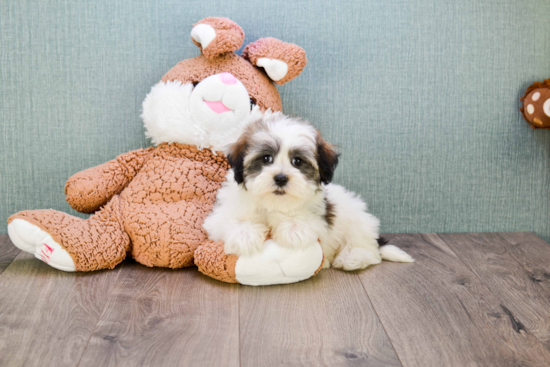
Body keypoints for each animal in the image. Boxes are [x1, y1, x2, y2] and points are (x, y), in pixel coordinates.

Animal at [204, 113, 414, 272]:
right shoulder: (220, 217)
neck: (273, 202)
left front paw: (292, 229)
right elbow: (231, 221)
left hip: (356, 221)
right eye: (266, 158)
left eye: (297, 161)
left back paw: (351, 259)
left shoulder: (319, 217)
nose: (281, 178)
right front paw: (245, 236)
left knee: (369, 251)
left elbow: (304, 221)